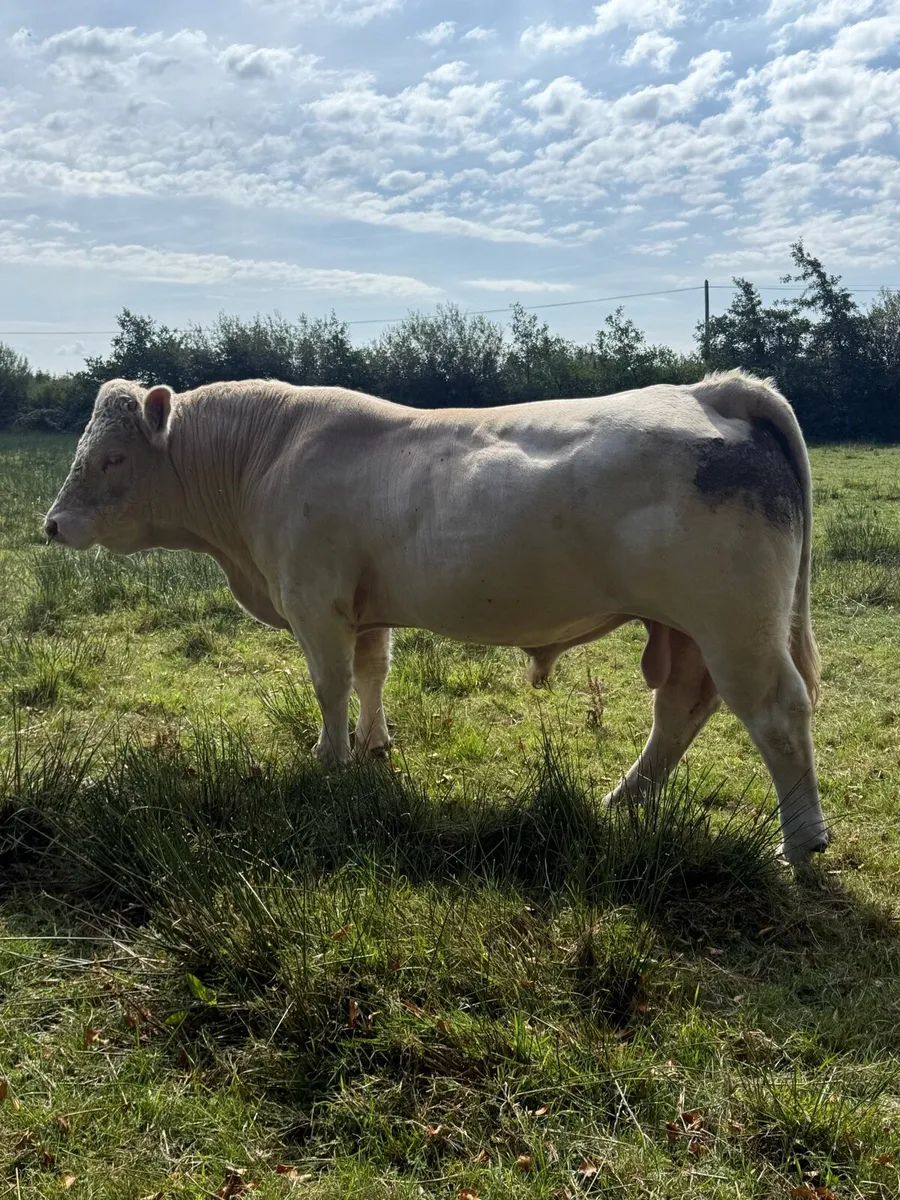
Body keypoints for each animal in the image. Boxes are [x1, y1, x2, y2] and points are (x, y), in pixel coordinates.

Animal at [44, 370, 830, 865]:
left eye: (111, 458)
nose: (52, 524)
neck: (263, 458)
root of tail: (707, 390)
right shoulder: (364, 609)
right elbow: (371, 674)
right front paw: (373, 746)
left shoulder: (314, 600)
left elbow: (330, 685)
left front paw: (328, 760)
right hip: (689, 628)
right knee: (681, 709)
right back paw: (625, 797)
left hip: (735, 625)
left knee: (776, 713)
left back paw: (800, 843)